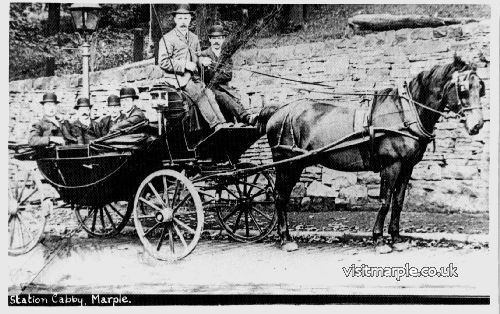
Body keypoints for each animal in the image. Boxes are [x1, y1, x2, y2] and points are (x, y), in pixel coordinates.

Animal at [256, 55, 486, 253]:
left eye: (480, 88)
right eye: (463, 88)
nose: (477, 125)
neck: (405, 113)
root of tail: (278, 111)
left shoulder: (407, 167)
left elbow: (398, 202)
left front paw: (396, 238)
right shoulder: (391, 166)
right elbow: (385, 201)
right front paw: (379, 240)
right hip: (288, 164)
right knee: (280, 197)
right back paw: (285, 239)